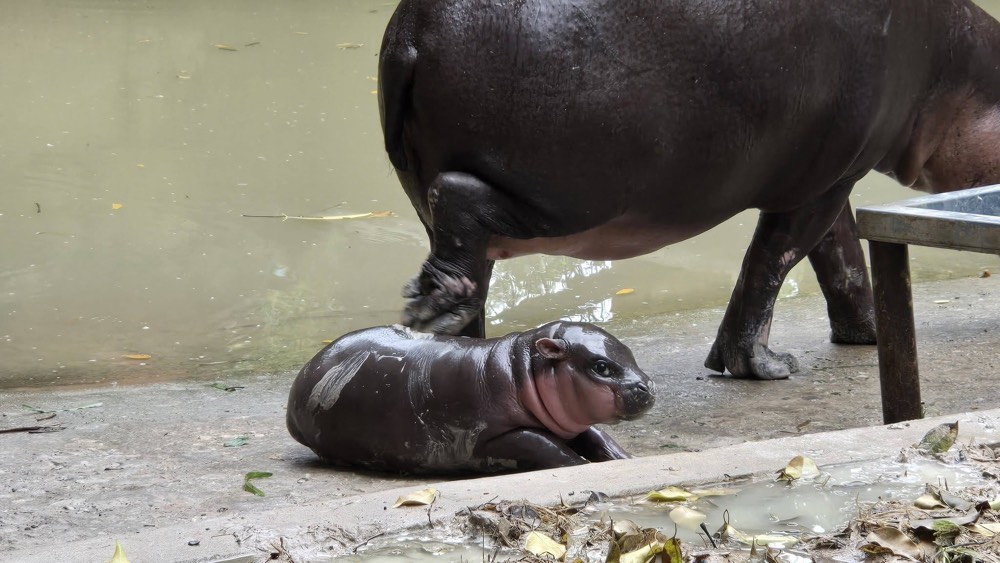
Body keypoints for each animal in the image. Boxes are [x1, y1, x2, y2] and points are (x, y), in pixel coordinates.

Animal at [286, 322, 655, 473]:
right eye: (601, 366)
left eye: (628, 351)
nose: (648, 387)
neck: (521, 370)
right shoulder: (495, 437)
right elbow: (547, 446)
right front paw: (582, 465)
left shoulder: (568, 422)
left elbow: (597, 436)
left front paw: (625, 459)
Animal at [377, 0, 1000, 379]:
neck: (958, 70)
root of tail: (412, 31)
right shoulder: (823, 179)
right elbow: (773, 261)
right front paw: (767, 367)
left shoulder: (826, 176)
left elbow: (836, 259)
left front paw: (867, 336)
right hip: (578, 201)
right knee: (461, 202)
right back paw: (442, 316)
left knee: (469, 265)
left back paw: (456, 351)